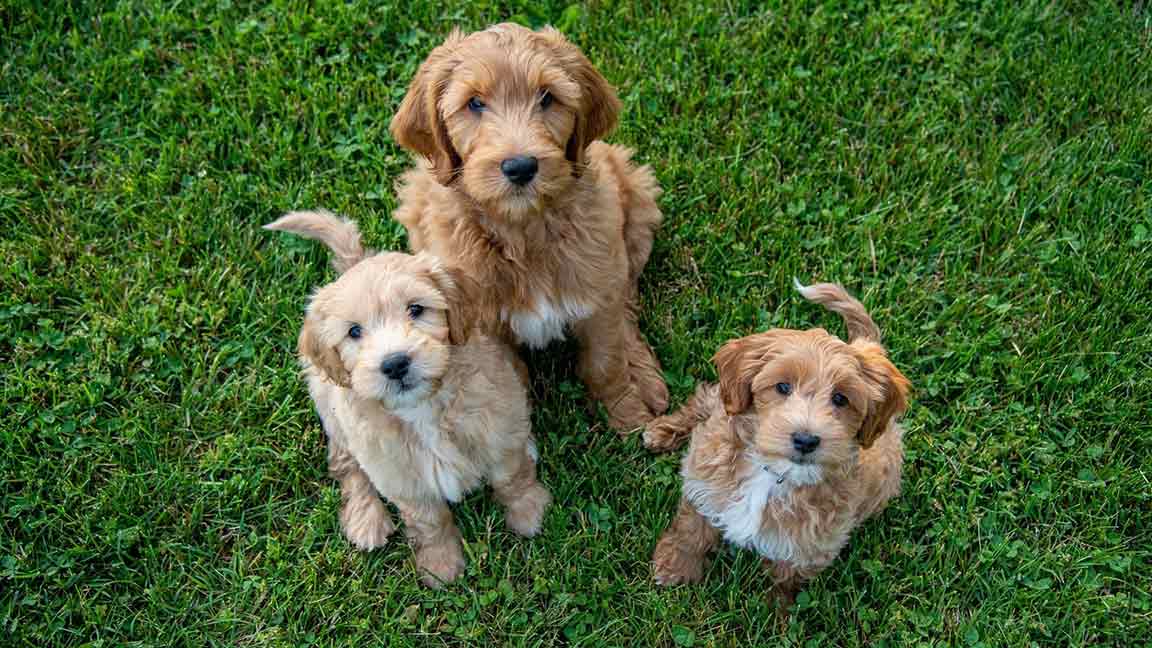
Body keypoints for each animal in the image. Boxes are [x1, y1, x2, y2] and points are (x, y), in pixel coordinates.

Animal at [270, 211, 557, 585]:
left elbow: (511, 476)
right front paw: (440, 563)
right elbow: (428, 520)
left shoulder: (496, 423)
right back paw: (366, 519)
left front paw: (530, 512)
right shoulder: (399, 472)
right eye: (354, 332)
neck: (425, 410)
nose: (395, 364)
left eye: (416, 309)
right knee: (346, 464)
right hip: (332, 409)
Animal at [391, 22, 672, 431]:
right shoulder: (480, 323)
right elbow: (508, 379)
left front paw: (628, 416)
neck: (522, 230)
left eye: (547, 97)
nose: (520, 166)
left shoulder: (598, 288)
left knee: (627, 303)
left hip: (635, 200)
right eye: (474, 103)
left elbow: (606, 362)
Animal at [649, 280, 907, 604]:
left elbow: (786, 577)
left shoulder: (813, 544)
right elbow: (691, 527)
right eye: (782, 386)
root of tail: (869, 347)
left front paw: (777, 611)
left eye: (841, 398)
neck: (772, 473)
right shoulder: (705, 481)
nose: (806, 440)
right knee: (706, 396)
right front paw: (674, 567)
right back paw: (661, 431)